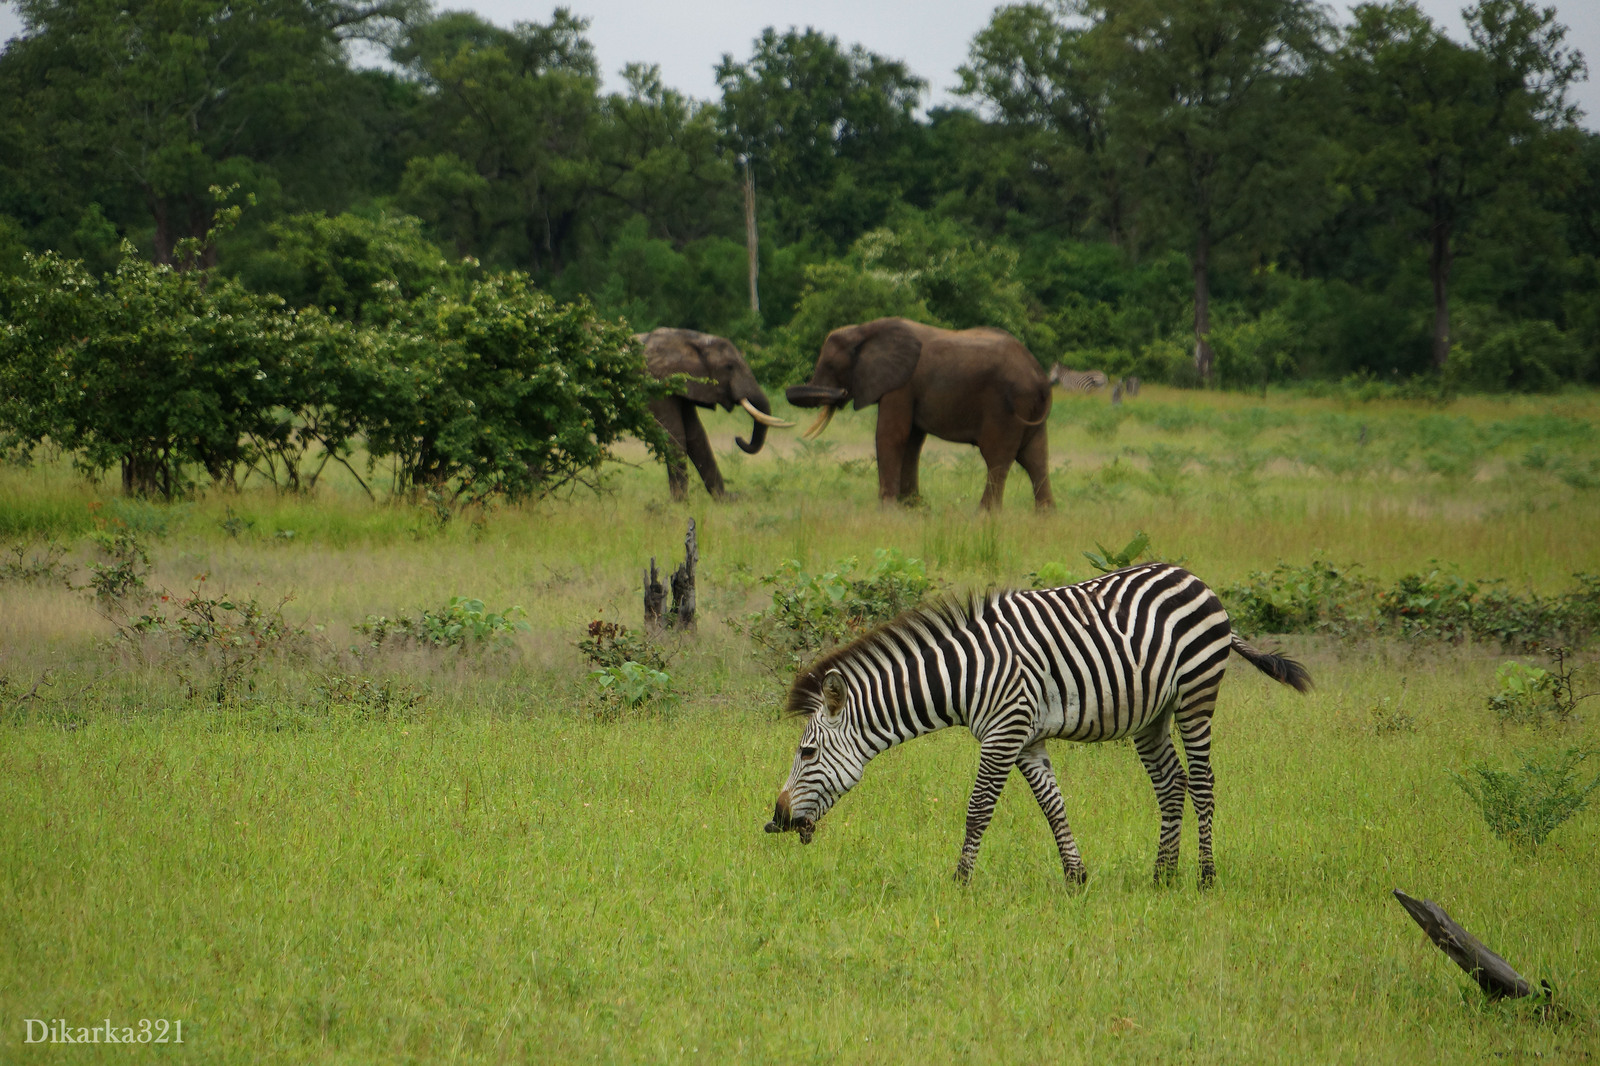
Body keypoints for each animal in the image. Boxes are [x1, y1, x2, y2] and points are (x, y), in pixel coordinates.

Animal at [633, 328, 790, 499]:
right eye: (729, 366)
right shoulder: (655, 382)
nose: (738, 438)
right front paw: (680, 502)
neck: (689, 338)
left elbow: (696, 436)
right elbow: (674, 434)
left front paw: (726, 500)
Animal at [764, 560, 1312, 883]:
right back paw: (1162, 875)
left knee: (1201, 781)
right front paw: (1076, 877)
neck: (965, 676)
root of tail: (1196, 579)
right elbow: (1053, 806)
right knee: (1171, 782)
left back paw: (1205, 877)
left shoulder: (1003, 733)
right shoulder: (1026, 738)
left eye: (806, 752)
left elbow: (978, 808)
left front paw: (960, 882)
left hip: (1196, 694)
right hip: (1151, 716)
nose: (776, 821)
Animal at [784, 315, 1056, 512]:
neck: (863, 330)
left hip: (1006, 408)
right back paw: (1045, 515)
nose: (840, 393)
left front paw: (887, 510)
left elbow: (891, 435)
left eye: (831, 366)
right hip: (1031, 410)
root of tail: (1042, 379)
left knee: (998, 458)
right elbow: (911, 442)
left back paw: (984, 514)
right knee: (1035, 458)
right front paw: (913, 507)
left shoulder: (901, 384)